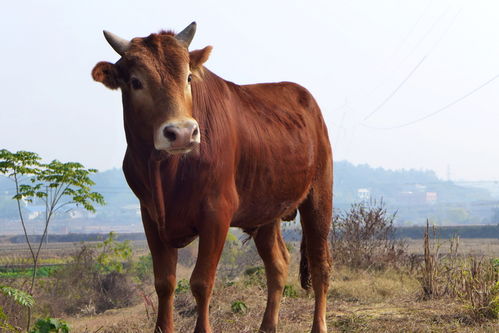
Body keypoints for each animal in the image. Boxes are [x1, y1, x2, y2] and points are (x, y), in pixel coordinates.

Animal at [92, 22, 334, 330]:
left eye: (188, 77)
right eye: (135, 82)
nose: (182, 132)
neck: (168, 171)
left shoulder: (217, 213)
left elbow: (201, 282)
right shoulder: (151, 216)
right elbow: (164, 283)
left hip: (319, 196)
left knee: (319, 264)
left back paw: (318, 325)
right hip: (266, 212)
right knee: (278, 265)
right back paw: (267, 326)